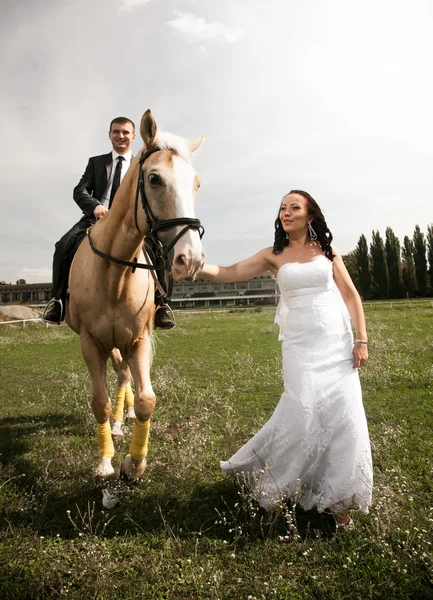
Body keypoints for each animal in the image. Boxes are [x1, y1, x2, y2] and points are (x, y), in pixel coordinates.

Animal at [65, 109, 205, 482]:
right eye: (154, 179)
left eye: (196, 183)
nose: (191, 259)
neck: (114, 274)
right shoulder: (90, 343)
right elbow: (98, 401)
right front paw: (105, 461)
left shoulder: (139, 339)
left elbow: (147, 400)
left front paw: (134, 463)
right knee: (120, 375)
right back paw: (115, 424)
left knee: (126, 375)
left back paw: (123, 419)